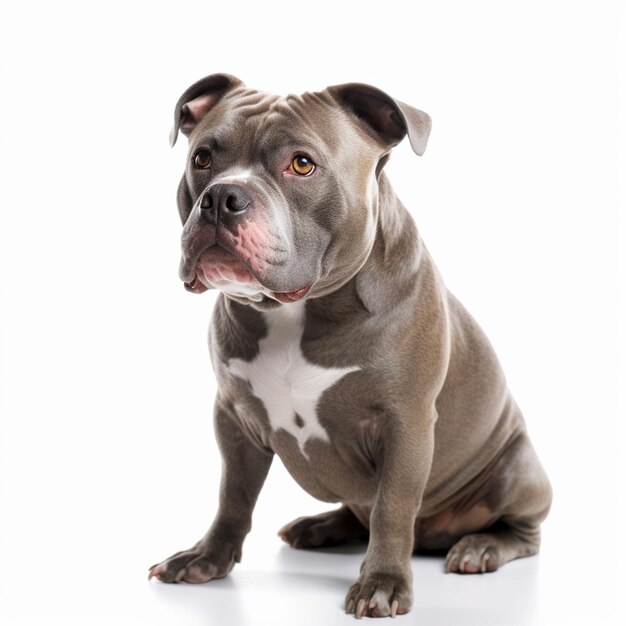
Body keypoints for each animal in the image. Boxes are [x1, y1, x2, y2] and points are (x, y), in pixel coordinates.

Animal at [149, 73, 548, 616]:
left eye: (302, 164)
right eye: (203, 158)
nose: (221, 197)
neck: (296, 311)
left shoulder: (405, 424)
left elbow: (392, 508)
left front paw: (382, 583)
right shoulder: (233, 417)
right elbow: (233, 494)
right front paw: (206, 558)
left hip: (514, 467)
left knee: (521, 530)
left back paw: (481, 547)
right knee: (356, 511)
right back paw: (318, 527)